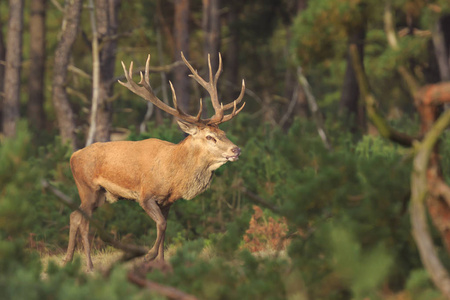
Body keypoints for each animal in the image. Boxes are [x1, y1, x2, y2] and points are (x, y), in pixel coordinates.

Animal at [62, 52, 246, 270]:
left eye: (223, 133)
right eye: (210, 137)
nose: (236, 149)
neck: (174, 176)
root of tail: (73, 156)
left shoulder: (168, 202)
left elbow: (165, 229)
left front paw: (162, 263)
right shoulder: (146, 195)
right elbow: (161, 225)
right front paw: (148, 256)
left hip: (101, 195)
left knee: (75, 216)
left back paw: (68, 259)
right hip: (87, 188)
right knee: (82, 220)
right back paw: (89, 265)